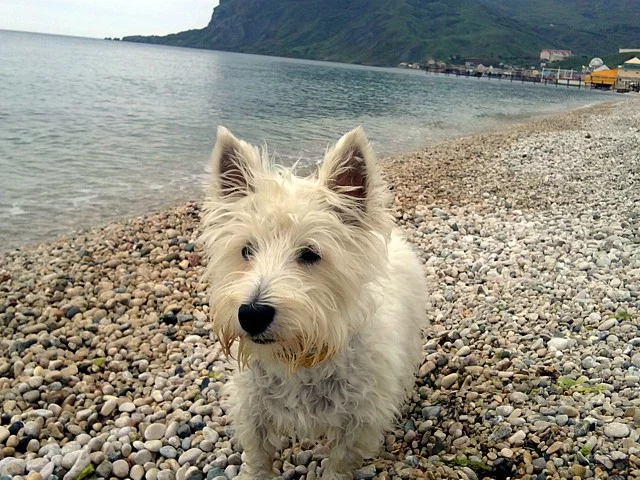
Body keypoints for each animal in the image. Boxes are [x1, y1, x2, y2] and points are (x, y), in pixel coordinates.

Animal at [200, 126, 426, 479]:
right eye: (246, 250)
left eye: (310, 254)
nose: (252, 314)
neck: (302, 357)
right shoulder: (253, 413)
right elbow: (258, 458)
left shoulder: (358, 423)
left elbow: (339, 463)